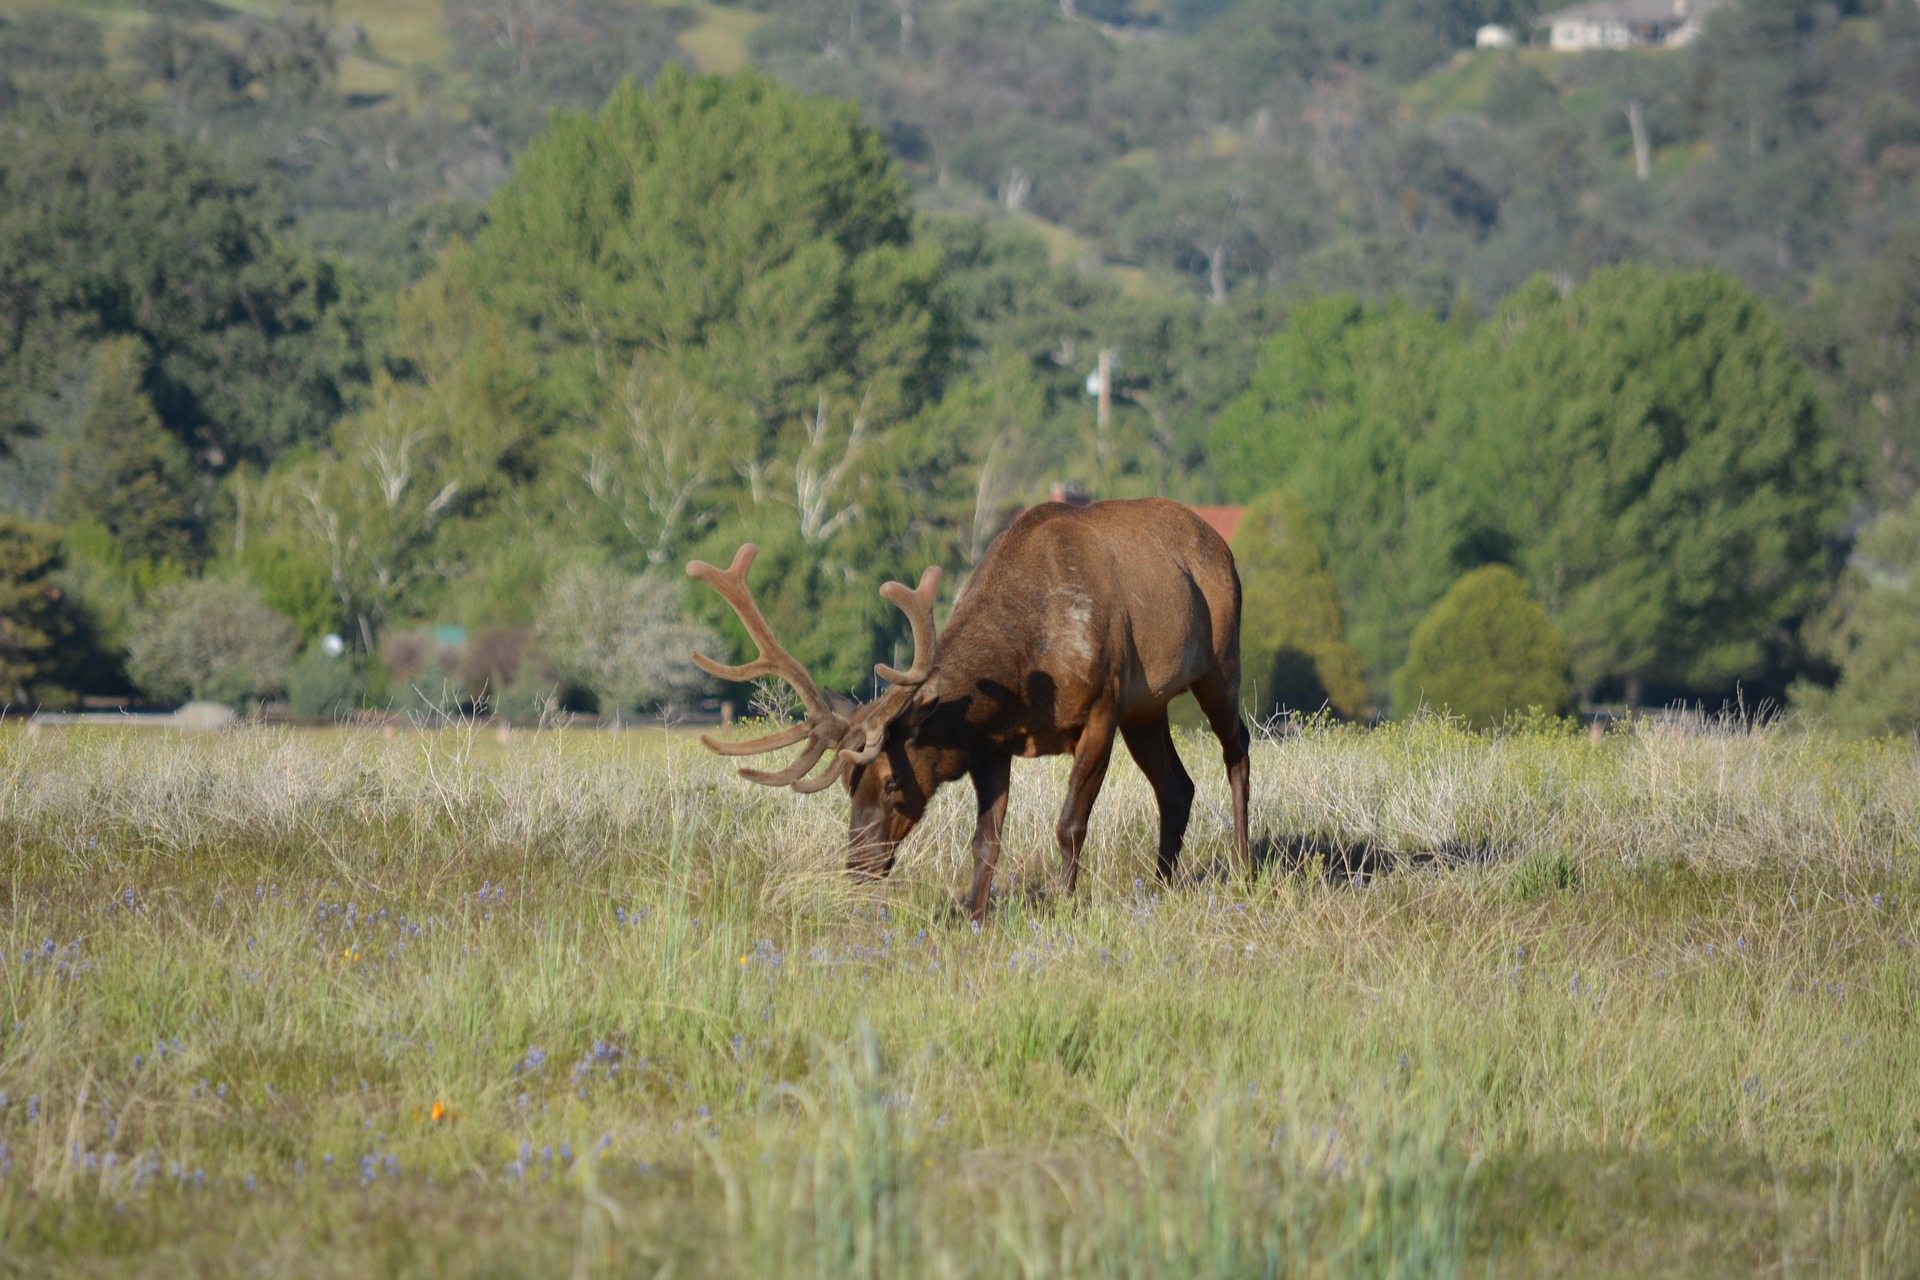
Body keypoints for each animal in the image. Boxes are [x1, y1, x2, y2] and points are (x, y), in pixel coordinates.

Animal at [683, 495, 1251, 921]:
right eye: (847, 783)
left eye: (891, 781)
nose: (857, 867)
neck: (1027, 674)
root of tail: (1221, 544)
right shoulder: (992, 744)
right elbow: (986, 840)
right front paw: (976, 918)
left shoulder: (1102, 710)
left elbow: (1069, 825)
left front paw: (1066, 907)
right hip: (1146, 709)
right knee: (1177, 788)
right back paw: (1158, 887)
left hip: (1218, 663)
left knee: (1237, 747)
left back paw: (1243, 868)